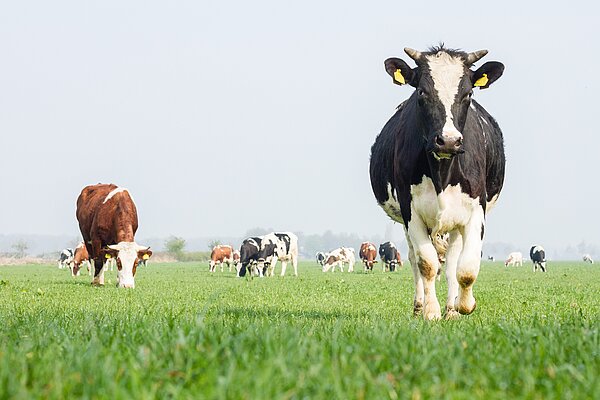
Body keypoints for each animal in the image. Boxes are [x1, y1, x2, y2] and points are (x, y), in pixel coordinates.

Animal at [370, 44, 506, 318]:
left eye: (468, 93)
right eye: (422, 91)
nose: (449, 141)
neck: (442, 172)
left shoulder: (476, 209)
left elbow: (466, 267)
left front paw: (464, 305)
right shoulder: (410, 211)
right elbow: (427, 263)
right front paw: (430, 312)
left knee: (453, 259)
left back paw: (452, 308)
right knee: (414, 258)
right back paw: (419, 305)